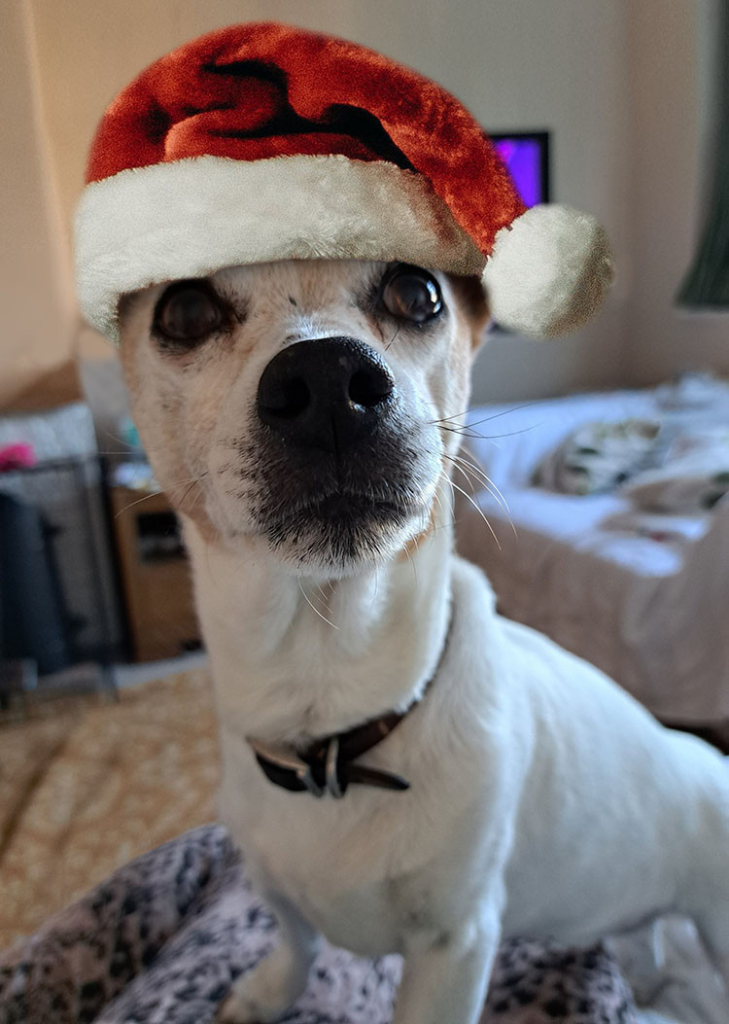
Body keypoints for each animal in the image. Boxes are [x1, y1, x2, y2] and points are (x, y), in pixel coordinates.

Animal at [115, 260, 729, 1019]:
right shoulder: (271, 879)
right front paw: (268, 990)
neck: (332, 724)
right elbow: (295, 939)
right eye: (185, 309)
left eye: (417, 293)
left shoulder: (453, 945)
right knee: (642, 937)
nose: (326, 381)